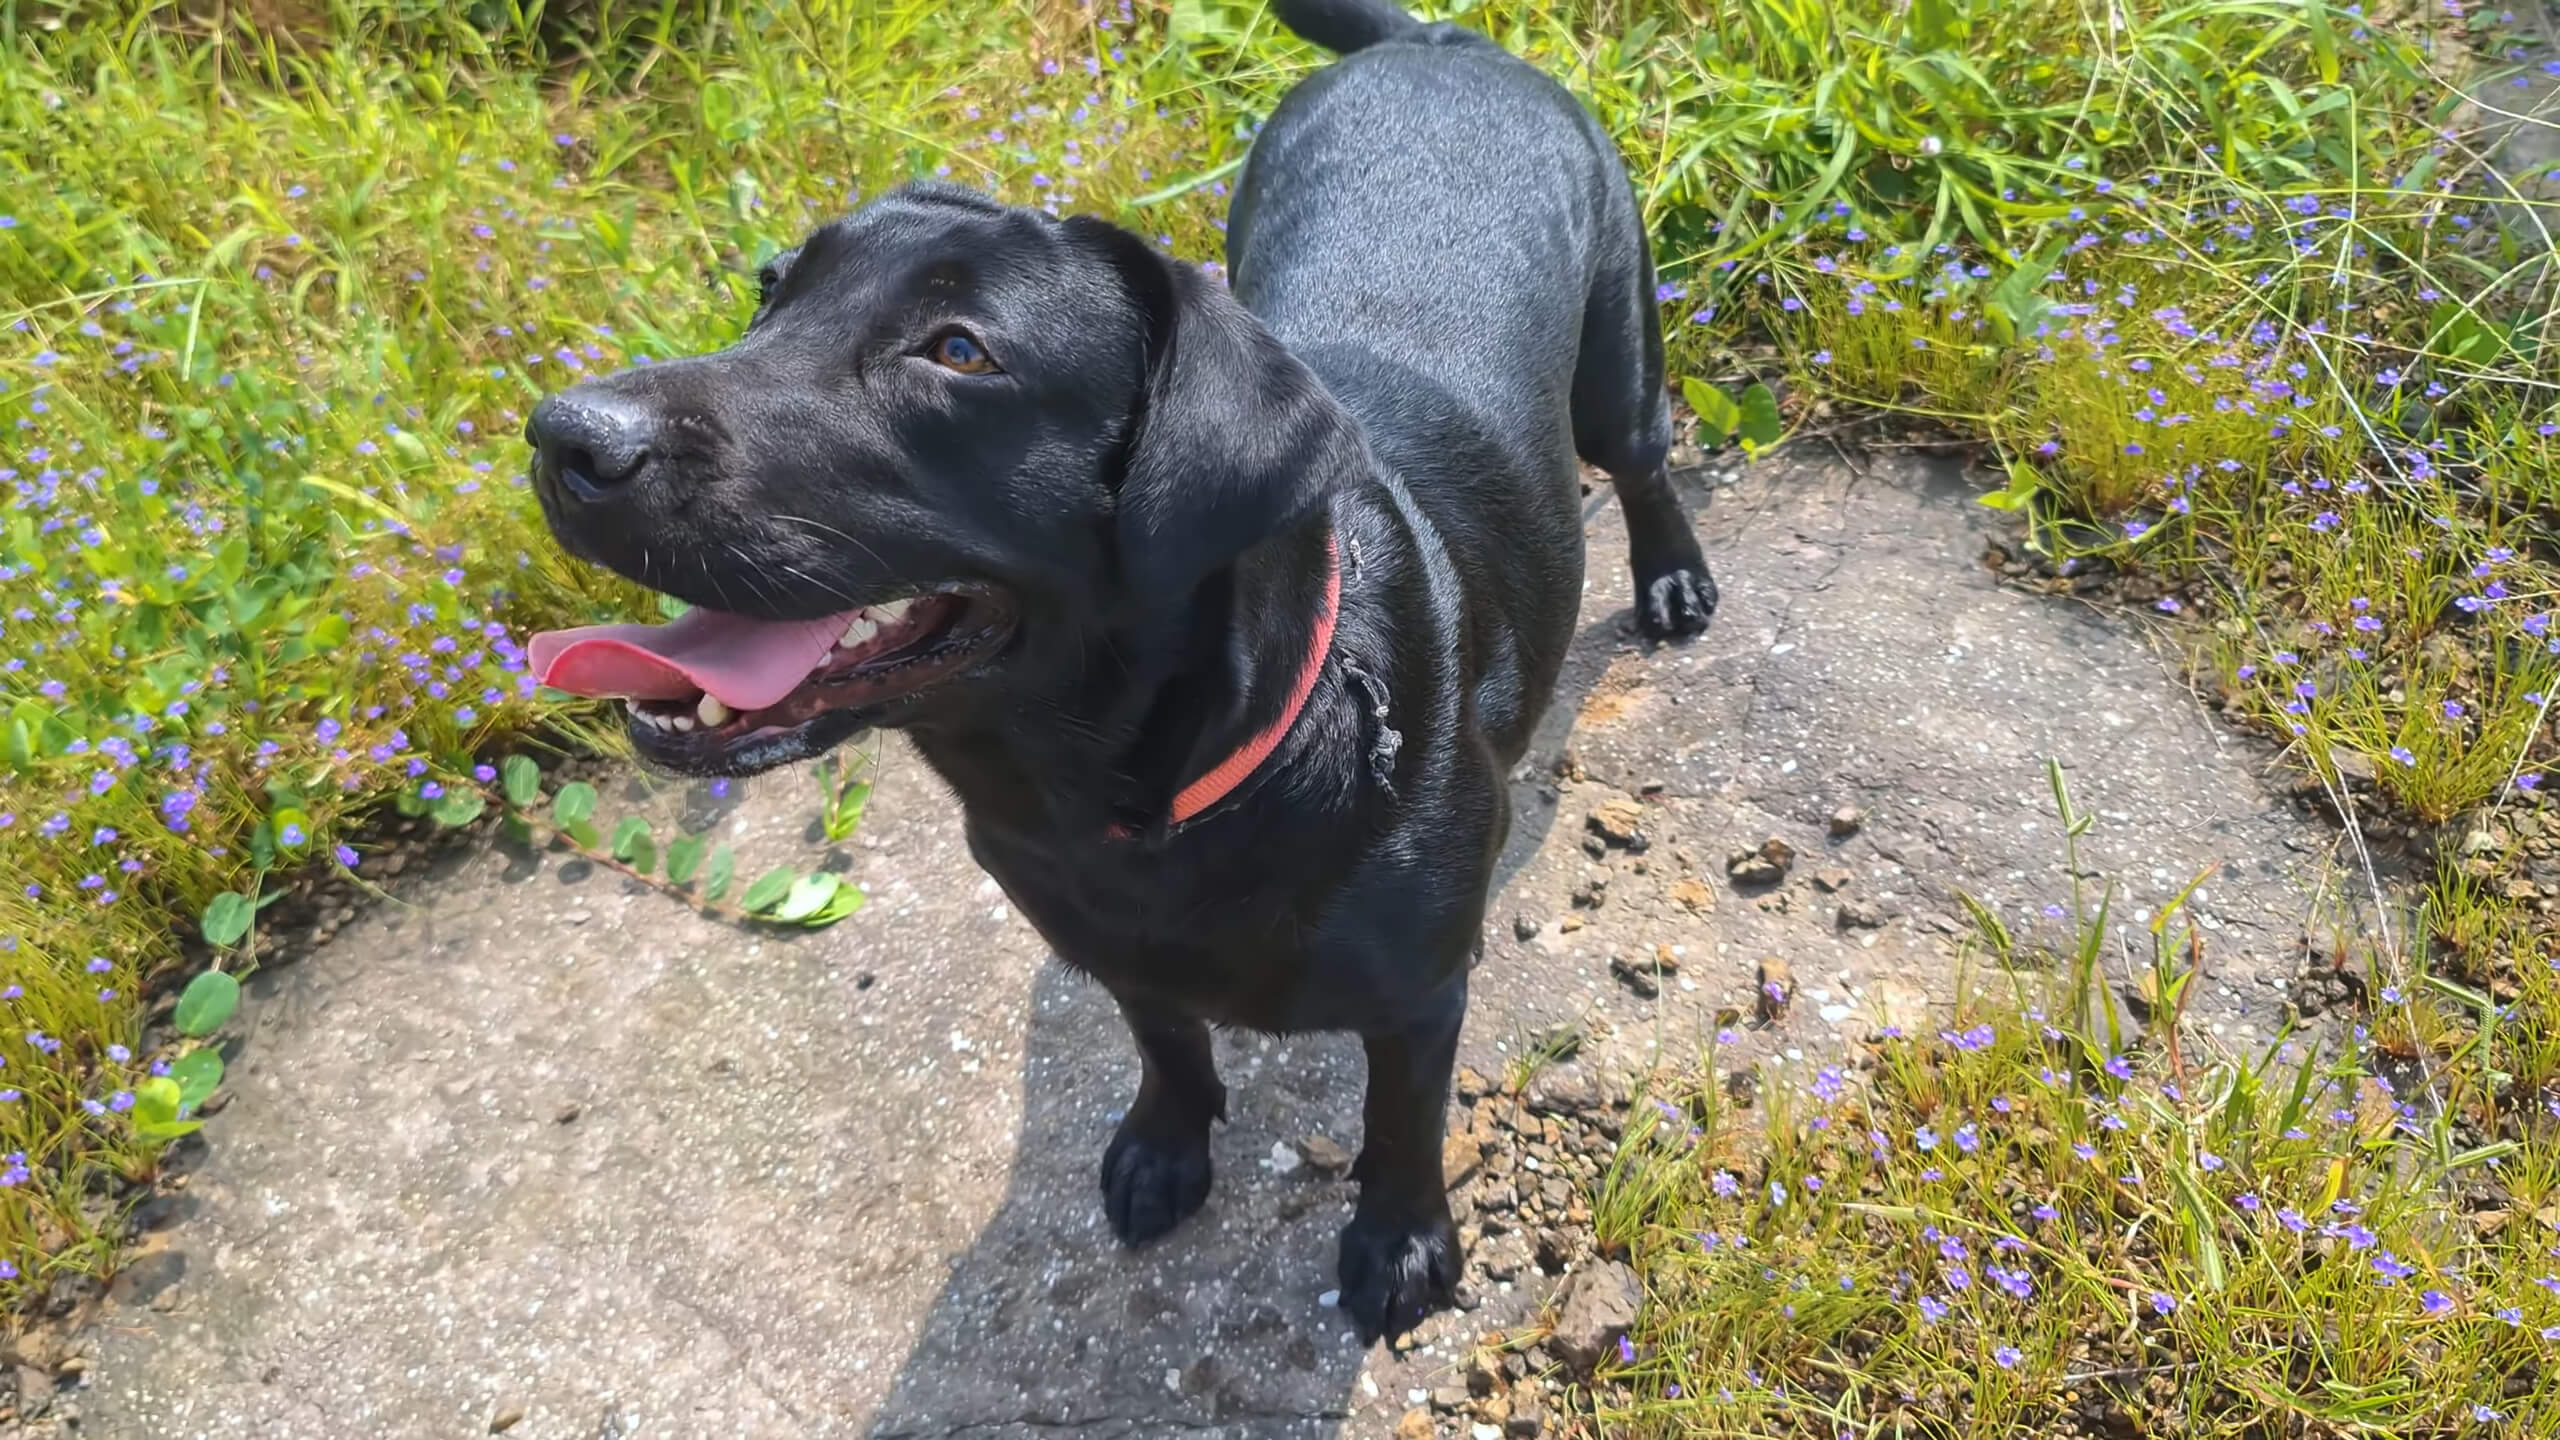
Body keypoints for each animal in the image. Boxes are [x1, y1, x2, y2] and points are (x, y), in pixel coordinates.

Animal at [522, 0, 1710, 1332]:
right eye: (765, 295)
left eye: (958, 351)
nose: (563, 438)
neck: (1138, 798)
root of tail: (1441, 47)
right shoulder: (1109, 945)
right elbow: (1164, 1039)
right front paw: (1166, 1144)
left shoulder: (1419, 996)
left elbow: (1400, 1122)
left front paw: (1400, 1242)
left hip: (1617, 348)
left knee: (1643, 457)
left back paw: (1672, 576)